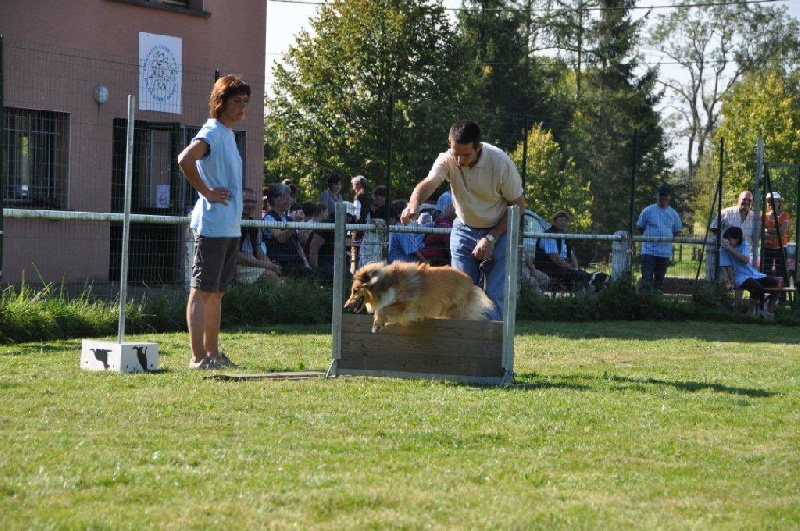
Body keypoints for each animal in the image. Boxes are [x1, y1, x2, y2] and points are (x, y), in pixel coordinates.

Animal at [344, 262, 494, 332]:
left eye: (355, 291)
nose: (345, 307)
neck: (385, 284)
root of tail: (471, 283)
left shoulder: (405, 305)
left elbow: (382, 310)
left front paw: (376, 326)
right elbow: (381, 310)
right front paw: (378, 323)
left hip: (457, 312)